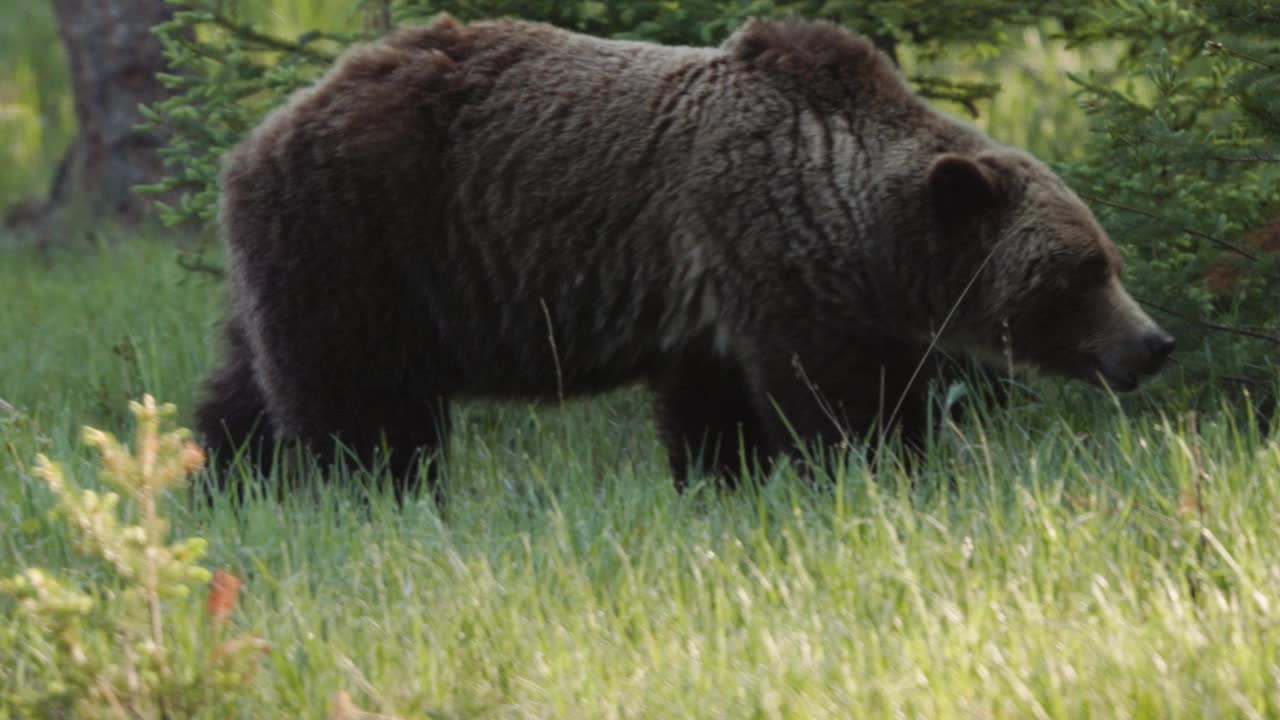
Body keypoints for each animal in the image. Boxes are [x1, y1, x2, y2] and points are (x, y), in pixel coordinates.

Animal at [192, 14, 1172, 491]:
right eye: (1084, 271)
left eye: (1109, 259)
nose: (1154, 343)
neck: (862, 238)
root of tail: (263, 128)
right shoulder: (766, 259)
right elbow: (836, 403)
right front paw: (879, 472)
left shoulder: (711, 308)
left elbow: (713, 414)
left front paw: (722, 486)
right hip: (368, 244)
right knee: (356, 402)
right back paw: (375, 489)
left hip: (287, 268)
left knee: (244, 393)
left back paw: (223, 482)